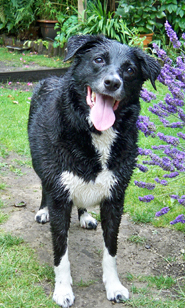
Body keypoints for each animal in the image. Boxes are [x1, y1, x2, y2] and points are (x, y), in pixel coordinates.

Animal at [27, 35, 160, 306]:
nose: (112, 82)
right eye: (98, 60)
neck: (95, 134)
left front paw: (114, 286)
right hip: (41, 166)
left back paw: (85, 215)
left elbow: (111, 250)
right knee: (43, 185)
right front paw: (63, 290)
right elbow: (61, 253)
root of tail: (49, 78)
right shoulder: (59, 194)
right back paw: (43, 210)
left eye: (130, 69)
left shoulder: (115, 198)